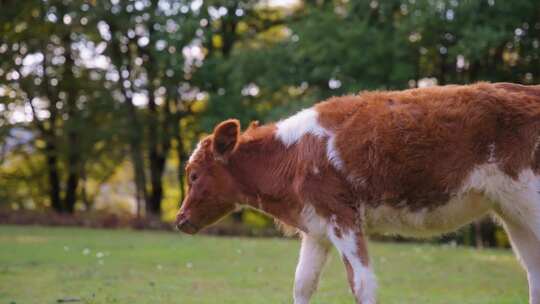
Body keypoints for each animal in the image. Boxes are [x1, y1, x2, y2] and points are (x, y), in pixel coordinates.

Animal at [176, 81, 540, 304]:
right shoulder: (316, 228)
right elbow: (302, 283)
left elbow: (362, 284)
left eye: (193, 175)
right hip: (512, 212)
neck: (295, 155)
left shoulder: (343, 217)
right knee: (534, 272)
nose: (180, 219)